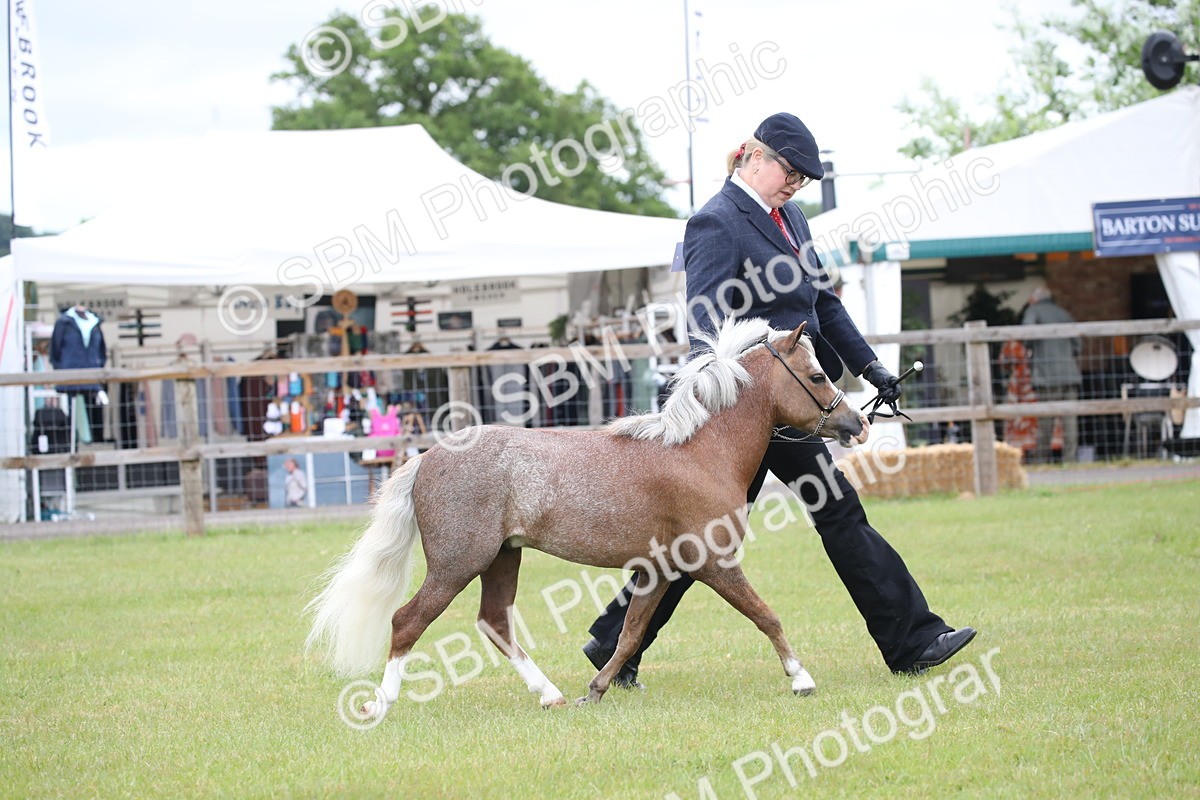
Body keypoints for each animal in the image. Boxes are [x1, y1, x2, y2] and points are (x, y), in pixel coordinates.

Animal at [306, 317, 868, 720]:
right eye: (818, 375)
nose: (858, 423)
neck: (698, 451)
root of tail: (428, 457)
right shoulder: (711, 562)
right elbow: (765, 614)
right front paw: (801, 679)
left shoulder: (658, 570)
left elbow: (631, 632)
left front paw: (594, 691)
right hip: (457, 563)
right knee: (408, 621)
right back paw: (378, 706)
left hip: (502, 559)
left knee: (494, 622)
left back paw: (550, 695)